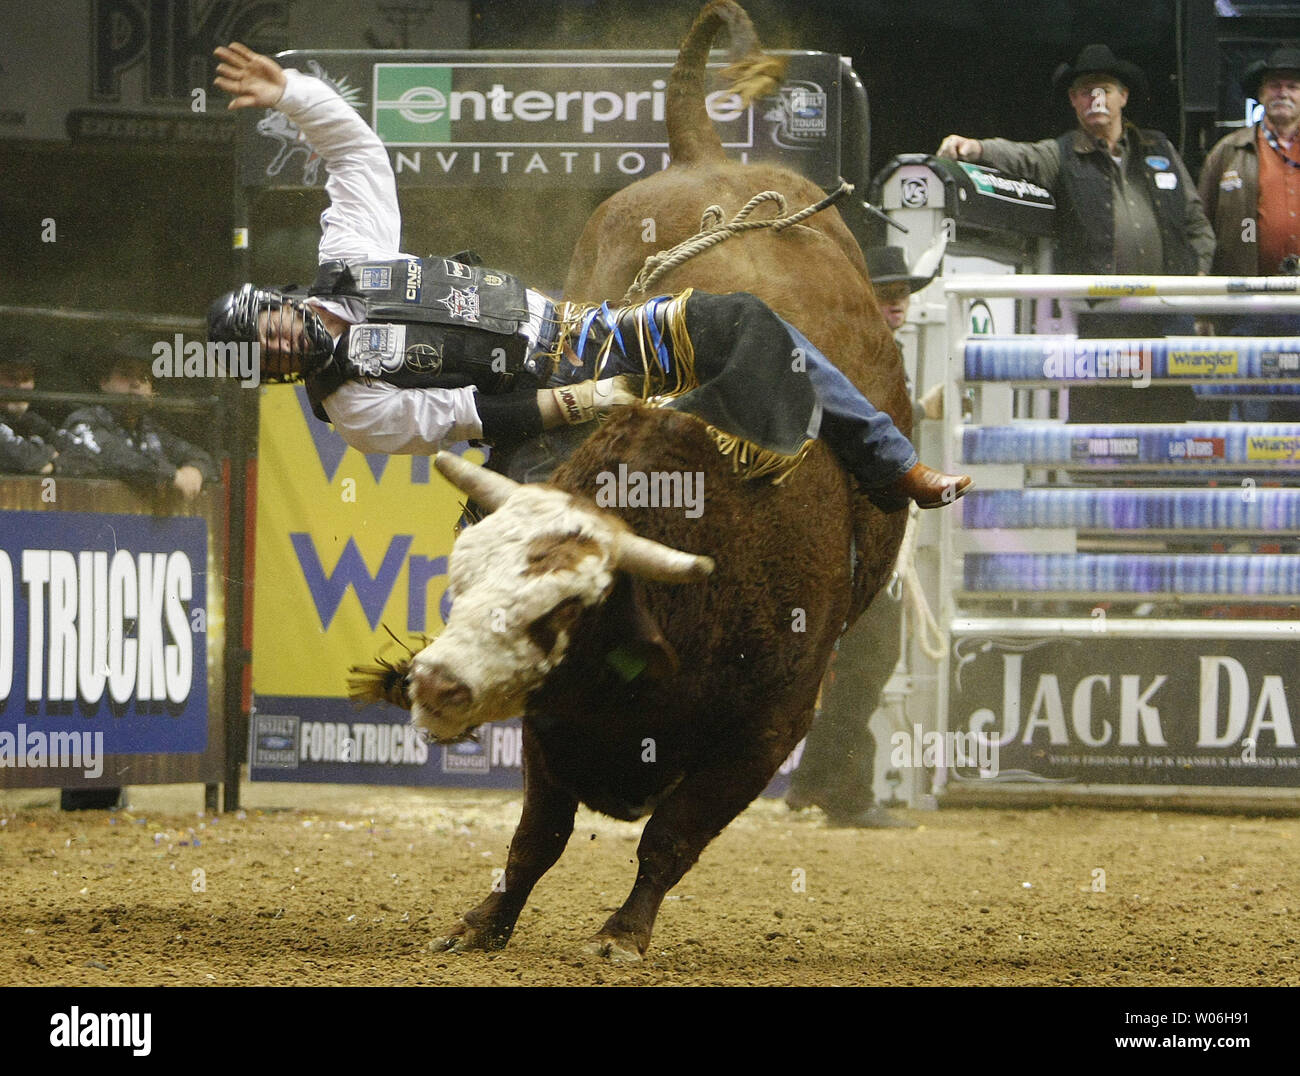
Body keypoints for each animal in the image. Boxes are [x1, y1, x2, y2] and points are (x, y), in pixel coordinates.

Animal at [421, 0, 909, 956]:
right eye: (463, 581)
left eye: (558, 610)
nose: (436, 682)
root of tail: (704, 156)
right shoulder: (551, 725)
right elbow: (539, 835)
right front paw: (484, 922)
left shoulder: (770, 729)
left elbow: (672, 836)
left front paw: (622, 932)